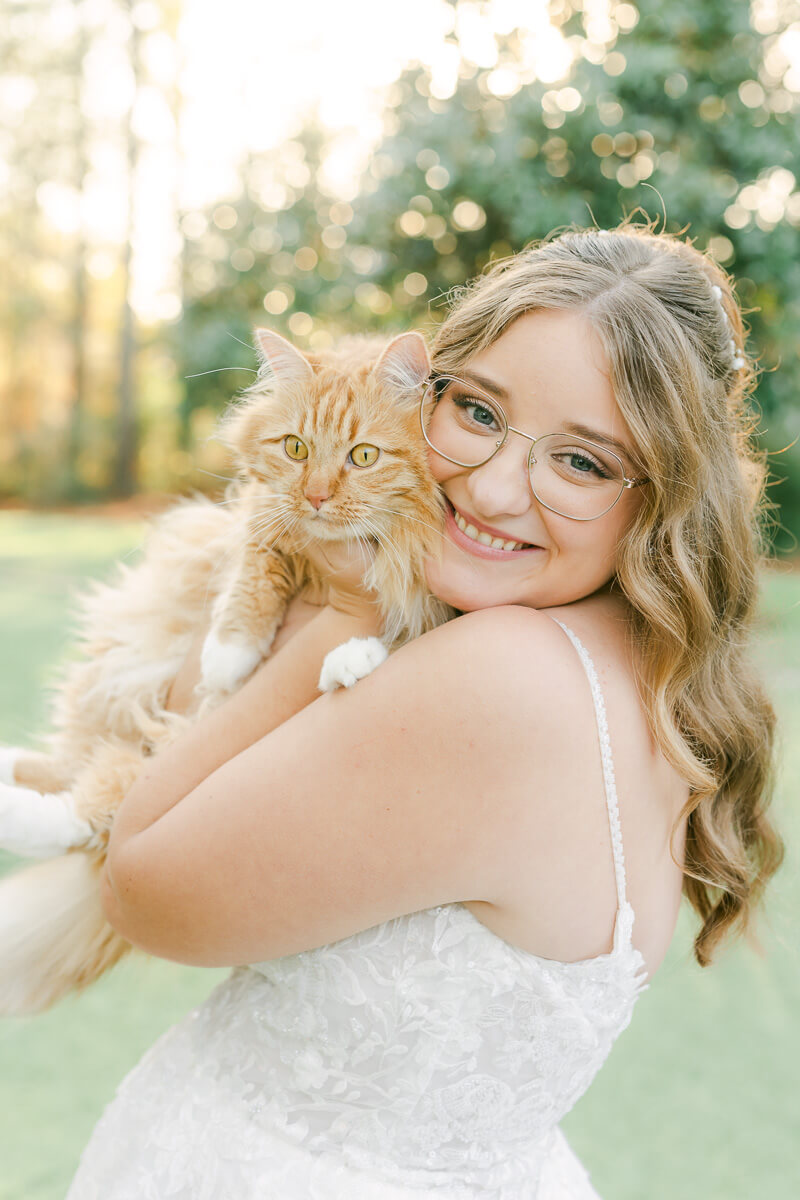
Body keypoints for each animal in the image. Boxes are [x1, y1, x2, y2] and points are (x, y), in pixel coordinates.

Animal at [0, 328, 450, 1012]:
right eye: (295, 449)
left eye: (364, 456)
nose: (316, 496)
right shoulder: (261, 514)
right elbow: (257, 559)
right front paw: (231, 650)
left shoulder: (441, 604)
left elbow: (404, 632)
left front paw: (352, 659)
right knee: (73, 781)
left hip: (151, 756)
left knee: (90, 815)